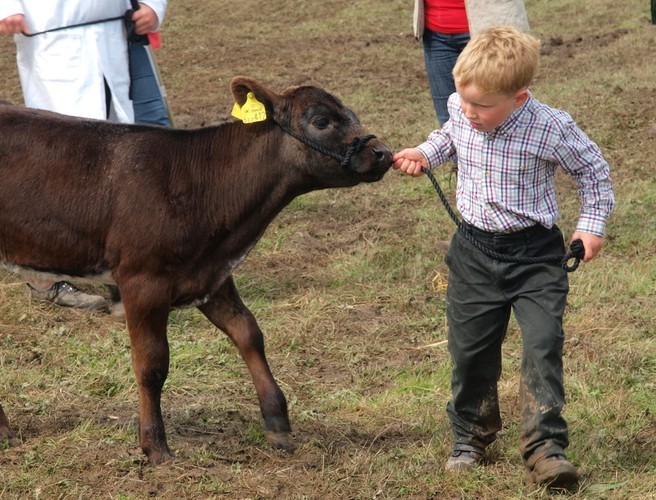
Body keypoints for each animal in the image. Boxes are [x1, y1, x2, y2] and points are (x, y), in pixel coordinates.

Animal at [0, 76, 392, 464]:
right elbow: (152, 362)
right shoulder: (143, 279)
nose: (383, 153)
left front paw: (277, 423)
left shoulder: (210, 274)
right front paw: (155, 445)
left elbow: (248, 333)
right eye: (321, 121)